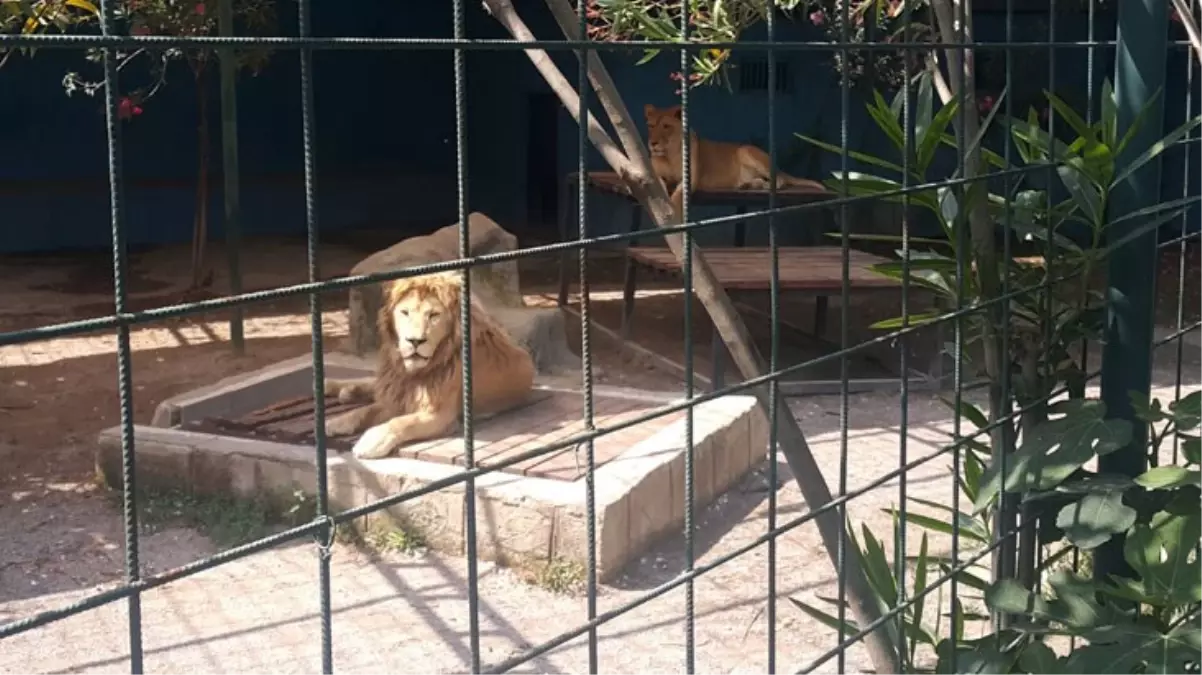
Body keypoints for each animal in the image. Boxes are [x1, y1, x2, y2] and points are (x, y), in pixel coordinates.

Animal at [322, 270, 533, 458]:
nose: (415, 341)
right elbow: (365, 410)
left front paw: (371, 441)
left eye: (433, 315)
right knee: (371, 384)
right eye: (405, 312)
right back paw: (336, 387)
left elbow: (401, 422)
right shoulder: (399, 396)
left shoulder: (439, 415)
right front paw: (336, 422)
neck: (414, 373)